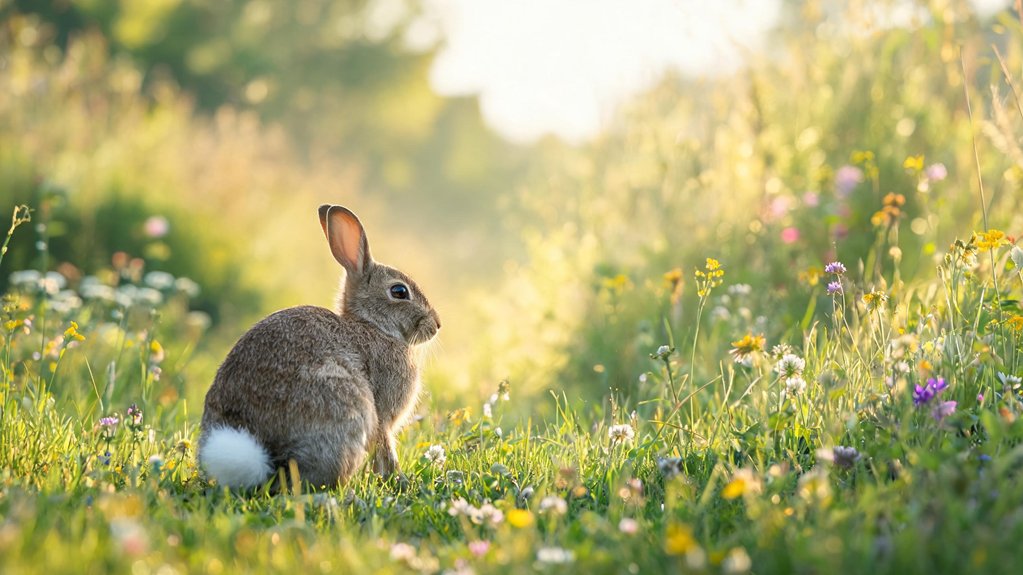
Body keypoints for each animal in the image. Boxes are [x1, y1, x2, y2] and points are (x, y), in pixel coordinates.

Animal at [197, 204, 441, 489]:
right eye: (399, 292)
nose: (437, 325)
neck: (372, 325)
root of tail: (268, 458)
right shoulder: (382, 415)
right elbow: (385, 449)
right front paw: (399, 480)